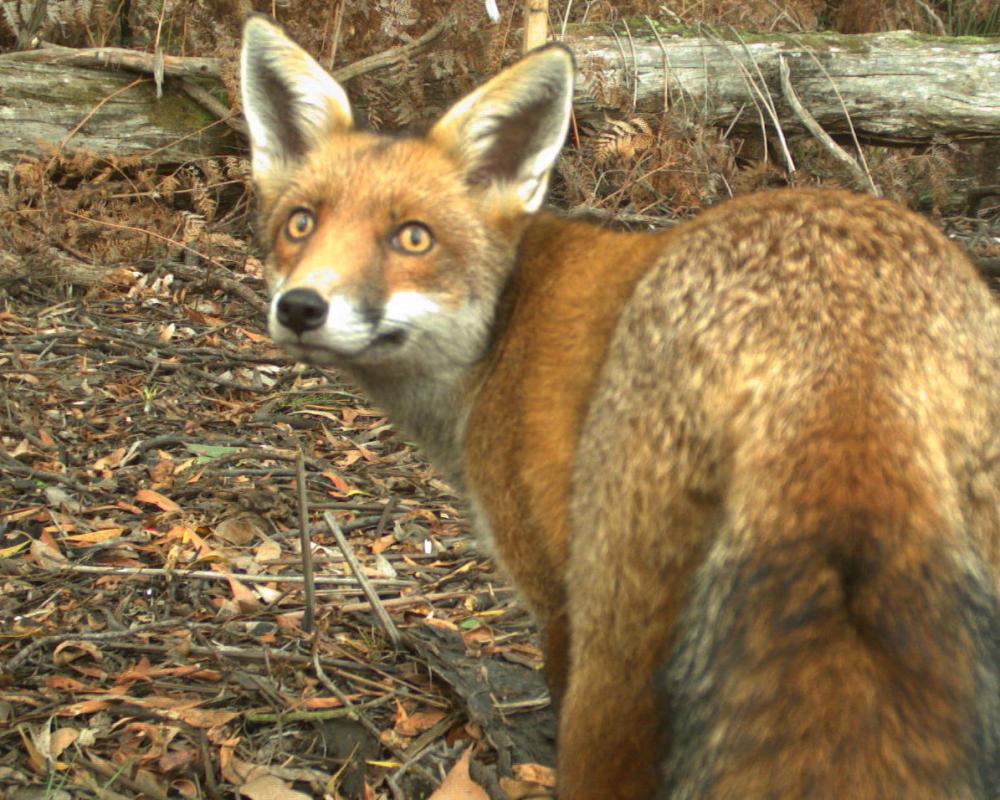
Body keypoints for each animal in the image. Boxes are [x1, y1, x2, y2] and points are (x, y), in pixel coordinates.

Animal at [239, 14, 1000, 799]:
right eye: (300, 224)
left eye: (412, 237)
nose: (301, 307)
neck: (499, 334)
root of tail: (839, 342)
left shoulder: (556, 601)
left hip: (617, 649)